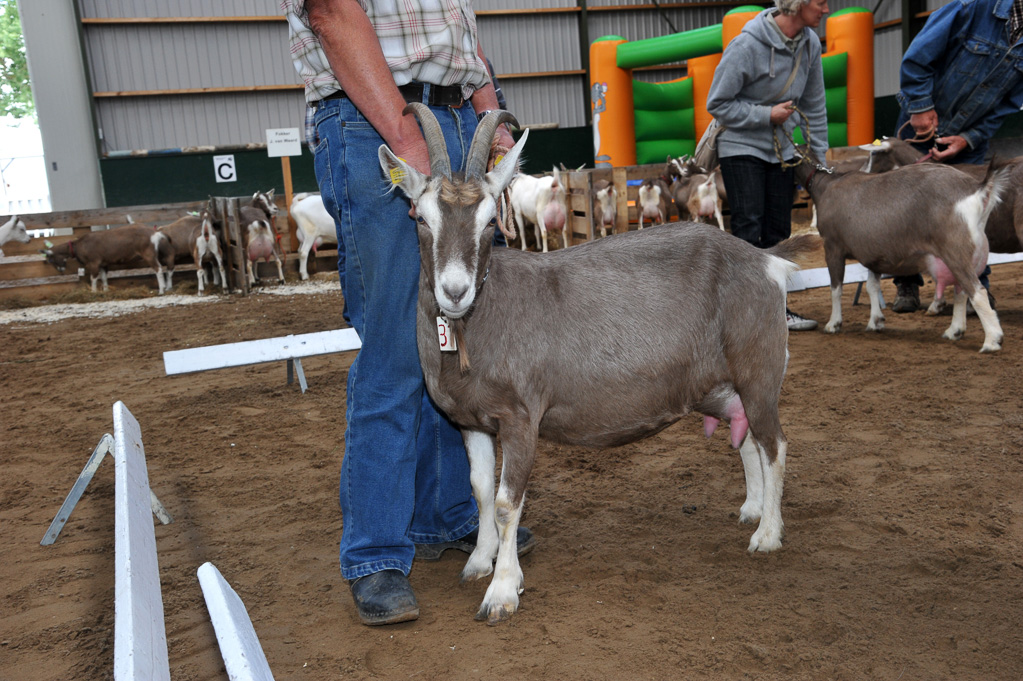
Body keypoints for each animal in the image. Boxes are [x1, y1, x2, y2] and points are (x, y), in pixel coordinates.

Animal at [40, 224, 173, 294]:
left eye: (50, 260)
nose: (61, 270)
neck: (78, 246)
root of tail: (155, 233)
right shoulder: (103, 264)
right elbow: (104, 277)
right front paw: (105, 290)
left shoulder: (93, 263)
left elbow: (93, 278)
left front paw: (93, 292)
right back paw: (165, 287)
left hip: (149, 254)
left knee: (158, 269)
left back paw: (161, 290)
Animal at [380, 104, 818, 625]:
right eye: (422, 218)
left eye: (489, 222)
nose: (454, 290)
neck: (478, 321)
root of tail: (765, 261)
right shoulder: (472, 420)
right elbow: (481, 490)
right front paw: (479, 561)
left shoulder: (521, 417)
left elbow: (508, 503)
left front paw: (502, 591)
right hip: (719, 384)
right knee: (747, 437)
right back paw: (752, 508)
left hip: (759, 370)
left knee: (774, 444)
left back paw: (767, 533)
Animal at [789, 147, 1006, 349]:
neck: (825, 185)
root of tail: (979, 190)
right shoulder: (874, 253)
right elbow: (872, 286)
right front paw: (876, 321)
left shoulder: (832, 246)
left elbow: (836, 288)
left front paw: (833, 324)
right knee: (961, 292)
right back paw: (955, 331)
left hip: (956, 251)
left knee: (977, 292)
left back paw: (992, 340)